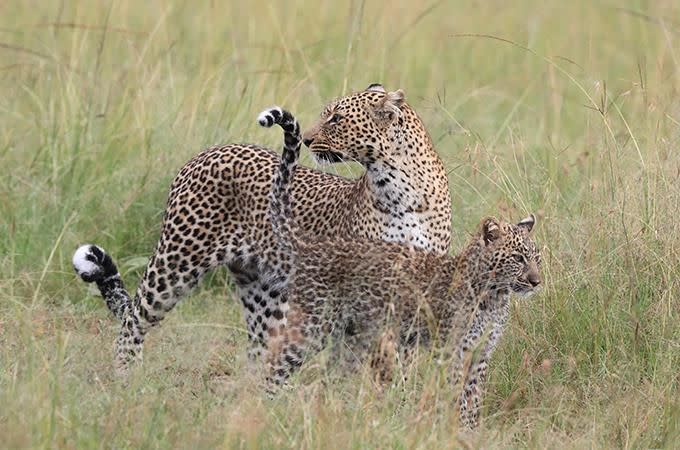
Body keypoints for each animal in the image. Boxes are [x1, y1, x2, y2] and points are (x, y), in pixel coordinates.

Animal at [71, 84, 452, 372]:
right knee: (133, 318)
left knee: (260, 354)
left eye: (337, 118)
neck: (401, 190)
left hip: (263, 292)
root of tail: (205, 154)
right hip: (176, 262)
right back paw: (125, 377)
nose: (308, 139)